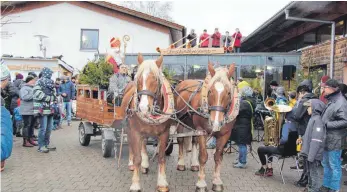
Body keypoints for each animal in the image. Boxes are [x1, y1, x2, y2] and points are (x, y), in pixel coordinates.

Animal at [121, 53, 173, 192]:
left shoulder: (164, 133)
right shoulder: (135, 132)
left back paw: (145, 164)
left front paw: (162, 182)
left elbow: (161, 157)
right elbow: (137, 158)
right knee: (132, 147)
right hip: (128, 128)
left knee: (143, 144)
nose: (143, 108)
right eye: (138, 79)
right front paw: (135, 184)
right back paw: (131, 163)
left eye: (155, 79)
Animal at [175, 62, 238, 191]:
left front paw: (217, 181)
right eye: (210, 92)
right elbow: (203, 156)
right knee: (181, 140)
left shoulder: (225, 134)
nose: (215, 123)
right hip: (180, 121)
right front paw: (201, 183)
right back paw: (181, 163)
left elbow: (218, 156)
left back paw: (194, 164)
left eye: (229, 92)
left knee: (194, 141)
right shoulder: (202, 131)